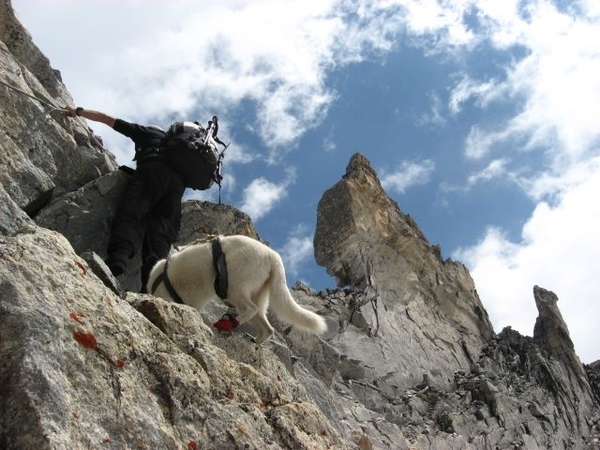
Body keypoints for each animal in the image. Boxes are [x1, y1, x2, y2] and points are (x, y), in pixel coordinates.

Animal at [148, 234, 328, 342]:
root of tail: (272, 256)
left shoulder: (190, 299)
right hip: (256, 295)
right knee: (267, 328)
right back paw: (255, 342)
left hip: (234, 288)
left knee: (251, 309)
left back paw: (228, 324)